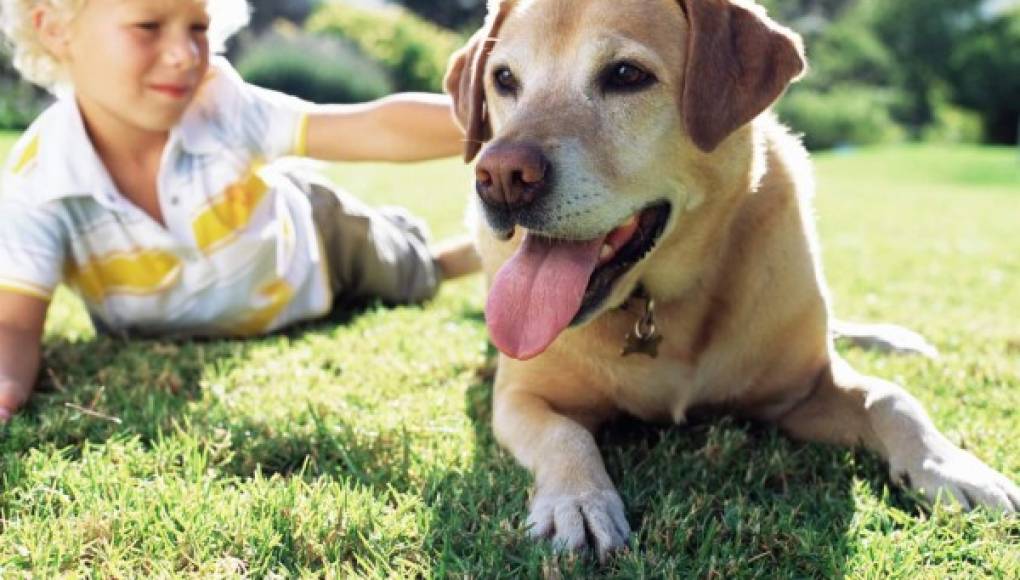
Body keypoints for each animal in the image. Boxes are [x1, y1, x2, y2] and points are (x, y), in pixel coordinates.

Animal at [446, 0, 1020, 554]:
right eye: (504, 79)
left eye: (627, 74)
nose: (499, 177)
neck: (660, 302)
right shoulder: (519, 397)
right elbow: (565, 435)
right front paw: (578, 501)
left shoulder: (806, 391)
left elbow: (893, 400)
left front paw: (955, 468)